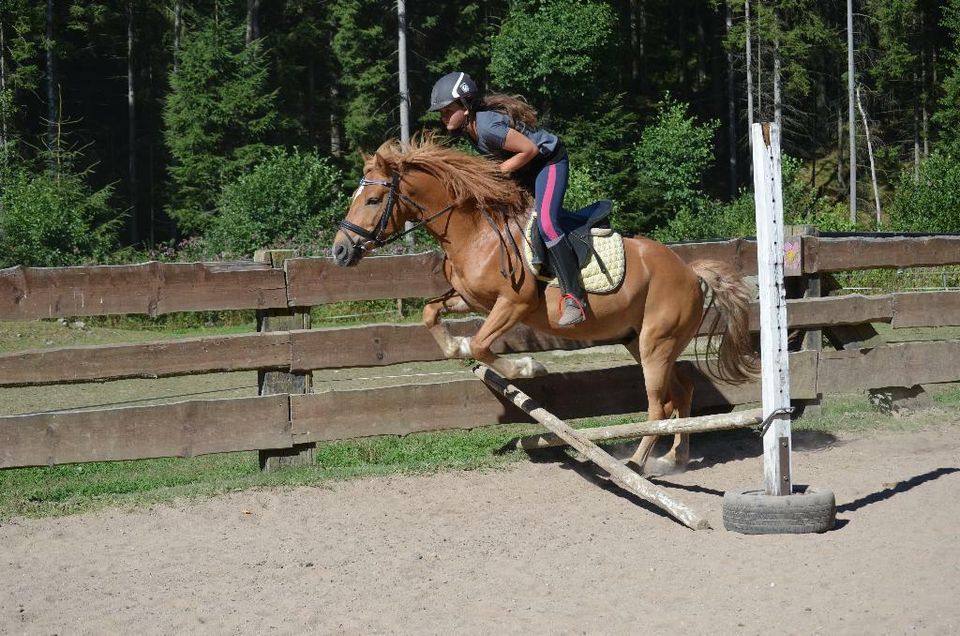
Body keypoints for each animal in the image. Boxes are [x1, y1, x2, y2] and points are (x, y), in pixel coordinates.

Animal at [332, 137, 756, 472]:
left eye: (373, 199)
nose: (339, 251)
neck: (475, 232)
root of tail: (689, 271)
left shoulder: (513, 304)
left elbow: (483, 345)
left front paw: (528, 367)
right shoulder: (469, 299)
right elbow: (431, 313)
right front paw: (457, 345)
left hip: (656, 344)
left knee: (657, 405)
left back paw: (638, 462)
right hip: (642, 342)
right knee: (681, 391)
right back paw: (674, 458)